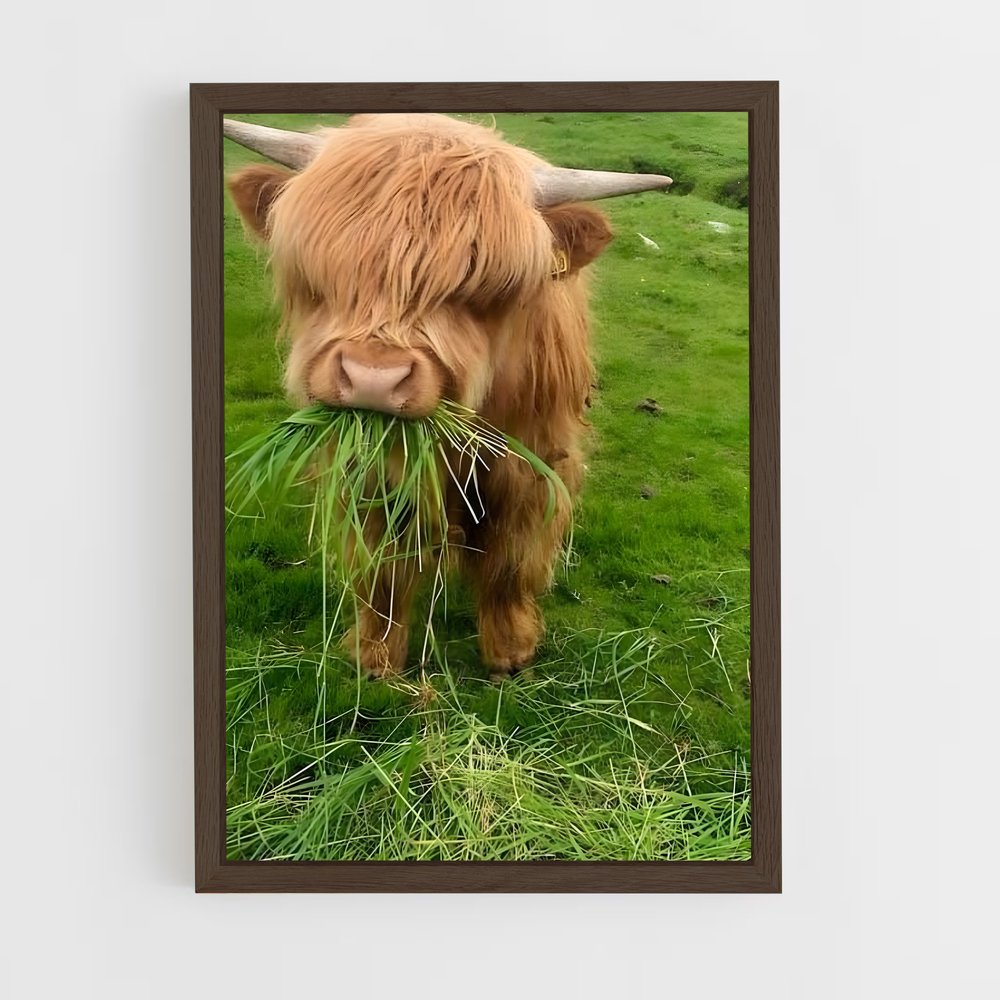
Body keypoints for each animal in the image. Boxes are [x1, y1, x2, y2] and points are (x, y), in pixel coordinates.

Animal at [225, 114, 671, 677]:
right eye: (323, 273)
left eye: (483, 289)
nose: (374, 378)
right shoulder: (370, 469)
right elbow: (382, 565)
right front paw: (375, 656)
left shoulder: (530, 463)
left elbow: (510, 557)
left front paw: (510, 651)